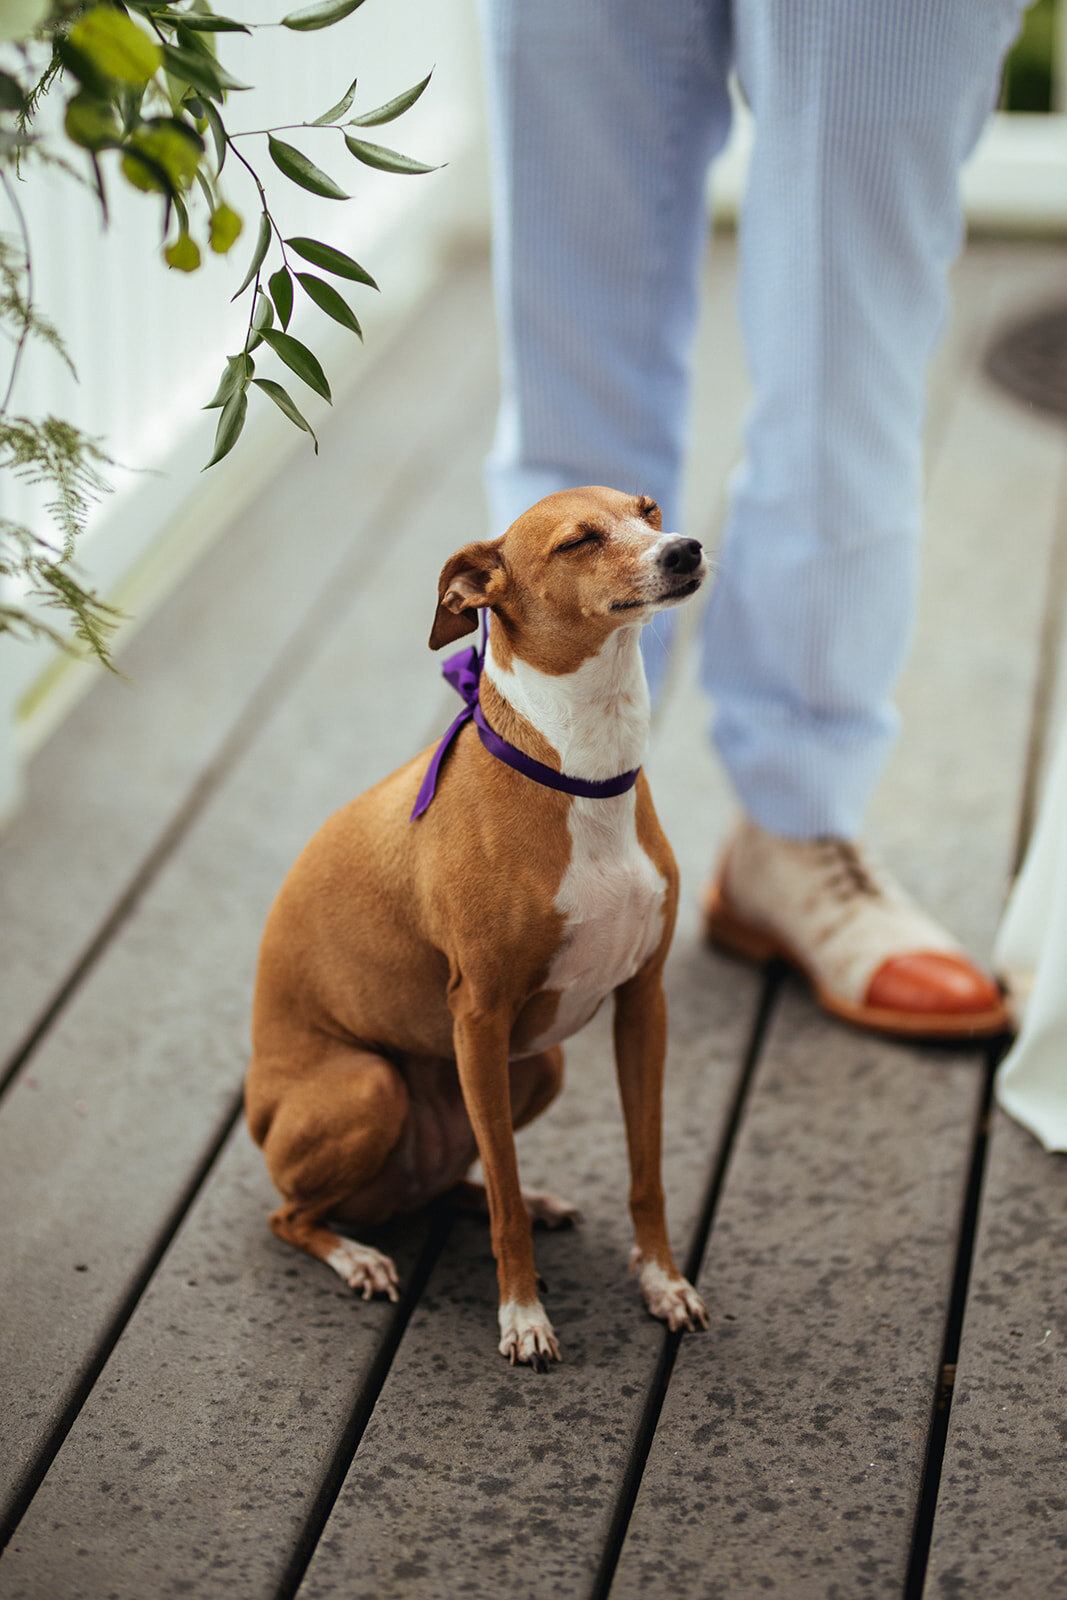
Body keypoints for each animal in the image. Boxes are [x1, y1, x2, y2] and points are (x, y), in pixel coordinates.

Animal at [244, 486, 710, 1363]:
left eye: (648, 510)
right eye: (578, 540)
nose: (685, 550)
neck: (580, 775)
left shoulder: (644, 1002)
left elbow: (645, 1173)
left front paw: (662, 1282)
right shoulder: (480, 1017)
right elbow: (505, 1204)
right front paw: (522, 1316)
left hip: (535, 1067)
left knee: (457, 1184)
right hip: (371, 1085)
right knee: (292, 1215)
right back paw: (359, 1257)